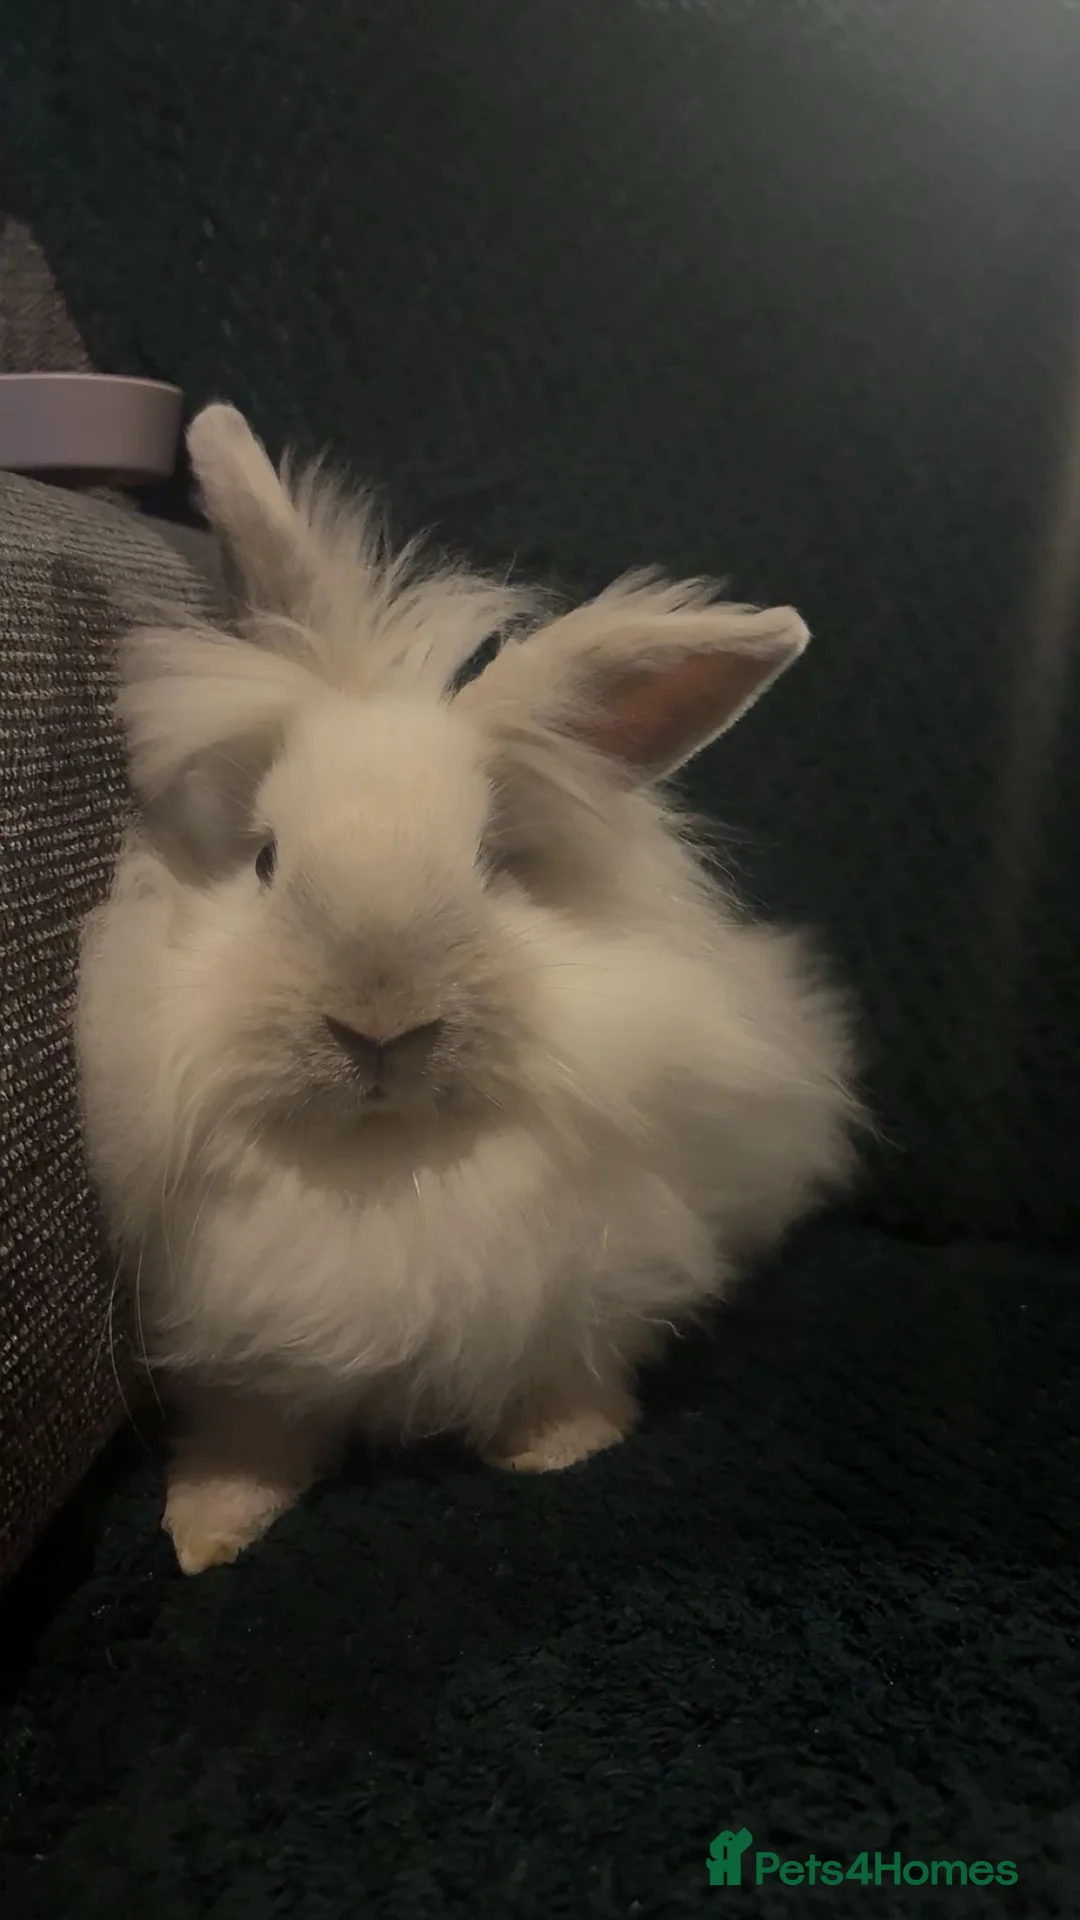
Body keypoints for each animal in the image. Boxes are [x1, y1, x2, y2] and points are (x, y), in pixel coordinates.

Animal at [75, 402, 861, 1575]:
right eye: (265, 859)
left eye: (495, 865)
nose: (379, 1024)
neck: (388, 1162)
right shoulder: (246, 1351)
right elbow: (255, 1432)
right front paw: (206, 1530)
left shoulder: (587, 1291)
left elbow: (565, 1374)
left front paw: (565, 1450)